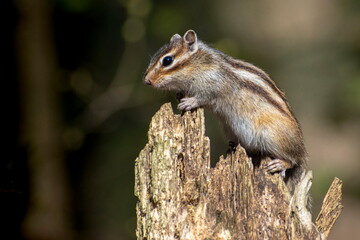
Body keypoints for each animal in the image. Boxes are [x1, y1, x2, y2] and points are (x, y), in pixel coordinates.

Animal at [145, 29, 308, 191]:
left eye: (167, 60)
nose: (147, 81)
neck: (199, 64)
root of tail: (302, 150)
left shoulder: (214, 86)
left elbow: (204, 98)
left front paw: (189, 102)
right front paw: (179, 95)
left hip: (274, 138)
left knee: (293, 160)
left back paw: (280, 164)